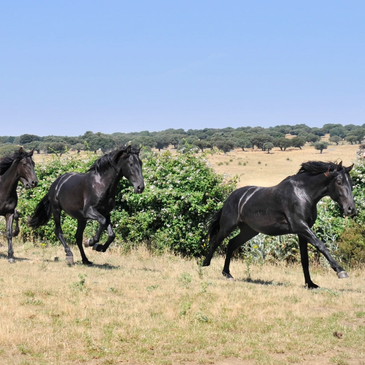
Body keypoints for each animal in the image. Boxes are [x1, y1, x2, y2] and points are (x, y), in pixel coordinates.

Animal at [203, 160, 356, 288]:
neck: (303, 193)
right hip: (227, 226)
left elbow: (304, 259)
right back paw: (205, 265)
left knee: (231, 244)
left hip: (249, 231)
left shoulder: (302, 232)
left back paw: (227, 274)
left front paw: (310, 284)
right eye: (339, 181)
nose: (351, 209)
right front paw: (340, 271)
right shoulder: (301, 227)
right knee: (216, 241)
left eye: (351, 182)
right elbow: (321, 245)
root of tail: (232, 197)